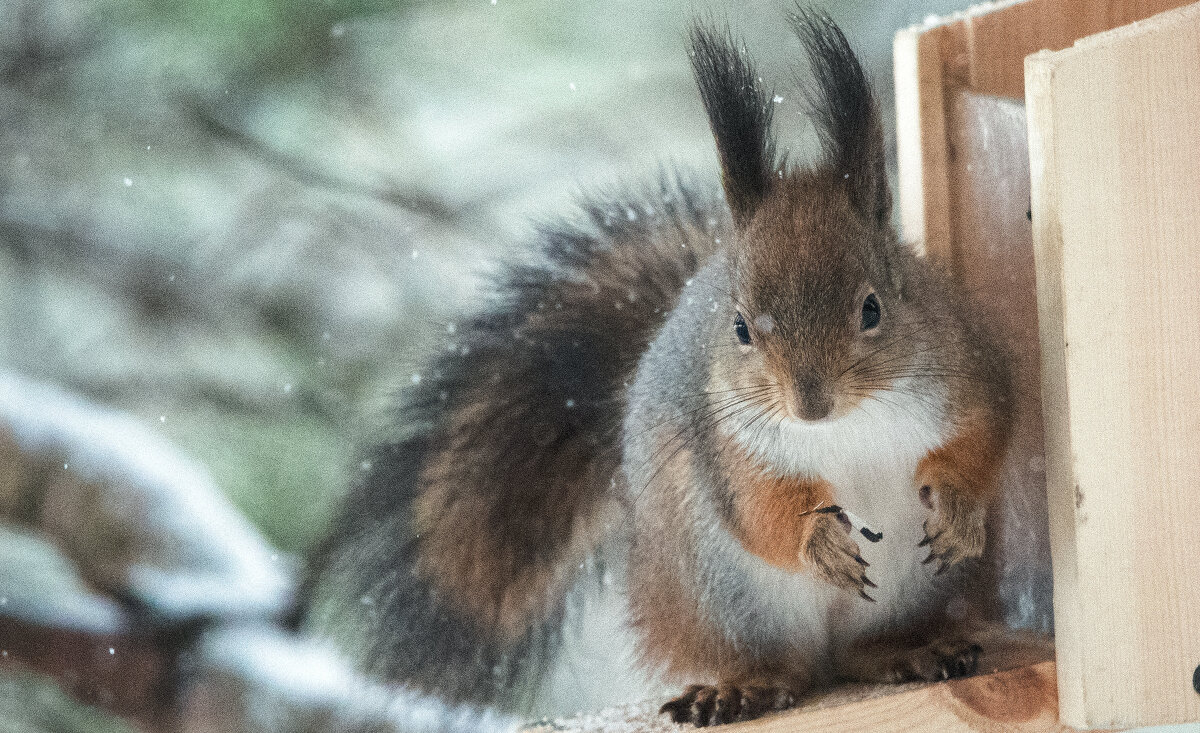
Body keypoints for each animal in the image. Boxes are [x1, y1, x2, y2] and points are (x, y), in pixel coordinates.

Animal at [297, 5, 1012, 729]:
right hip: (721, 590)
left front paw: (958, 506)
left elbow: (985, 440)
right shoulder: (729, 447)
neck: (849, 425)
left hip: (909, 589)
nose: (810, 405)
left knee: (863, 650)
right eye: (740, 327)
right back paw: (743, 686)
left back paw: (910, 650)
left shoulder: (967, 375)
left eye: (872, 308)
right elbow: (760, 509)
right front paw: (817, 539)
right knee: (784, 664)